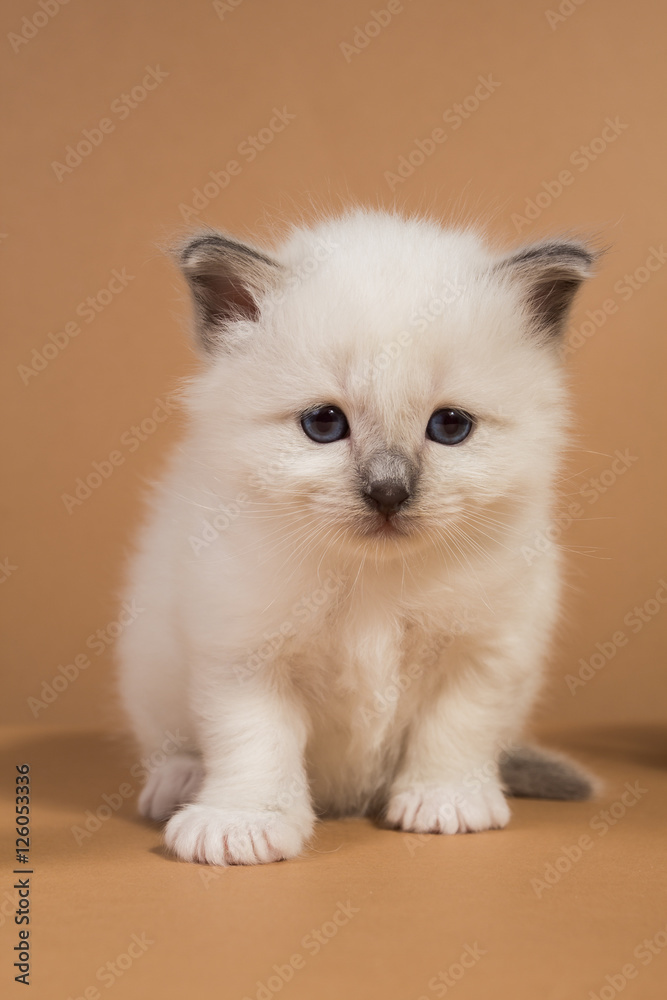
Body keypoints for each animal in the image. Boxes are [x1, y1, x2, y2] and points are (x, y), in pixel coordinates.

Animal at [116, 207, 600, 864]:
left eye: (451, 426)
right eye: (324, 424)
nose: (388, 493)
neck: (375, 580)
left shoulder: (486, 648)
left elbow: (457, 726)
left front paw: (445, 801)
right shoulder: (243, 650)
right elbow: (253, 742)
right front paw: (242, 822)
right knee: (174, 743)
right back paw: (180, 782)